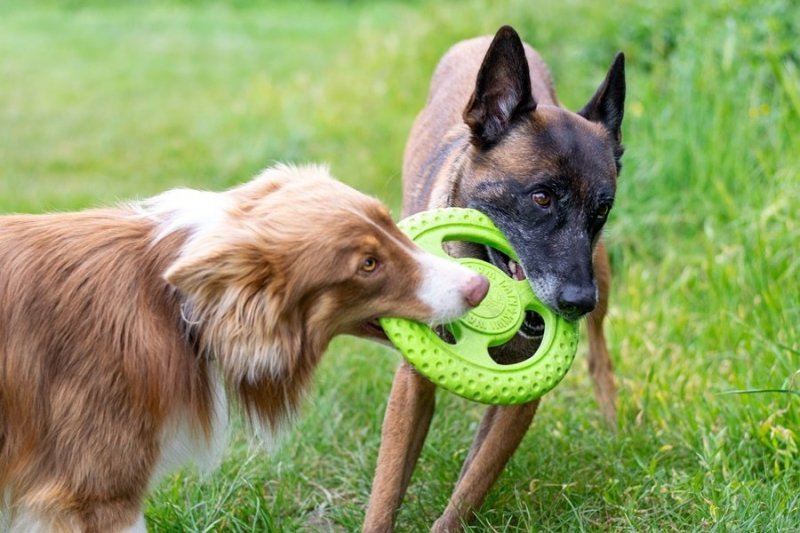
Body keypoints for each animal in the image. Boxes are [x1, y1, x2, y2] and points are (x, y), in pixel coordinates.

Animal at [364, 26, 624, 532]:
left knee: (600, 356)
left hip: (602, 273)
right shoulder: (411, 385)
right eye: (541, 197)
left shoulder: (522, 401)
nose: (578, 302)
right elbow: (386, 490)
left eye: (602, 210)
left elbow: (473, 484)